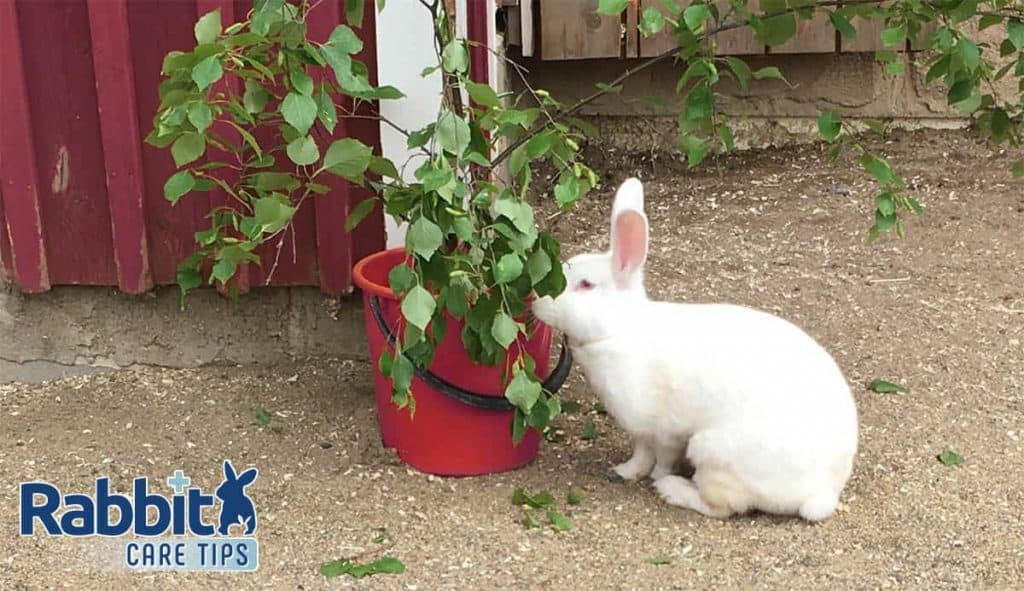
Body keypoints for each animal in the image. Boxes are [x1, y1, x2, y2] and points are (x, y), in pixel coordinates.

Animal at [532, 177, 860, 518]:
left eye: (585, 285)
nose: (536, 302)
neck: (619, 329)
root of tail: (823, 490)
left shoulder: (664, 430)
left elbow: (660, 456)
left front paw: (655, 476)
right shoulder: (642, 432)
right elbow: (640, 454)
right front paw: (624, 471)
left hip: (712, 453)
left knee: (722, 506)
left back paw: (672, 489)